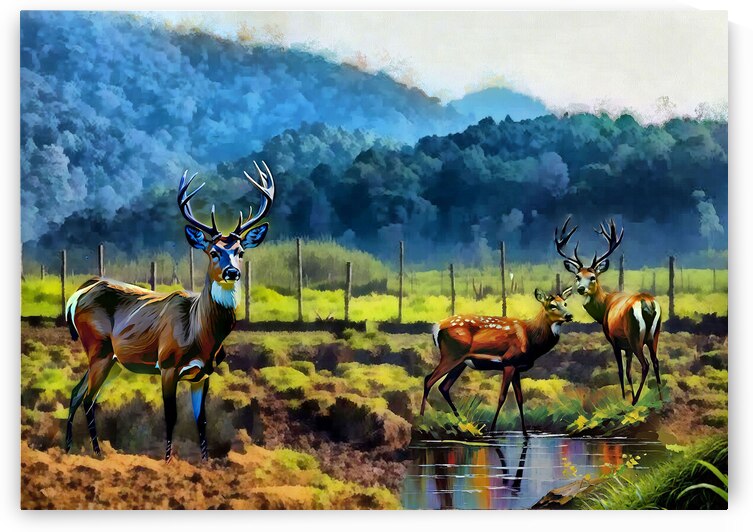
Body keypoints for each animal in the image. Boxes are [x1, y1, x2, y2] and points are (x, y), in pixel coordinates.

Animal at [64, 162, 275, 462]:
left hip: (113, 360)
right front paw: (167, 461)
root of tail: (80, 292)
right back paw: (97, 454)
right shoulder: (167, 364)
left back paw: (68, 449)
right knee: (88, 399)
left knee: (76, 392)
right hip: (98, 348)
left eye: (241, 252)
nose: (231, 272)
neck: (201, 333)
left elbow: (201, 420)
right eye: (213, 252)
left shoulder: (203, 373)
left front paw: (205, 462)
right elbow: (171, 416)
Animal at [420, 288, 574, 435]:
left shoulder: (517, 367)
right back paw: (422, 419)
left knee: (444, 386)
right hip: (451, 355)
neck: (531, 339)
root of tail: (436, 327)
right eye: (552, 305)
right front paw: (492, 430)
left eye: (565, 303)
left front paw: (525, 433)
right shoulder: (509, 362)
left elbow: (520, 399)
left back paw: (462, 421)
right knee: (429, 379)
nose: (569, 315)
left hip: (460, 362)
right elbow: (502, 397)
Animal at [554, 217, 662, 405]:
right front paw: (629, 395)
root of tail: (648, 303)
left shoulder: (614, 339)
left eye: (592, 277)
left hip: (635, 335)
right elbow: (628, 371)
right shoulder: (626, 346)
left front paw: (625, 398)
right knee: (656, 362)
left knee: (646, 364)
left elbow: (620, 370)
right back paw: (662, 399)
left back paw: (636, 401)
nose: (581, 289)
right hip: (653, 335)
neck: (605, 306)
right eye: (577, 277)